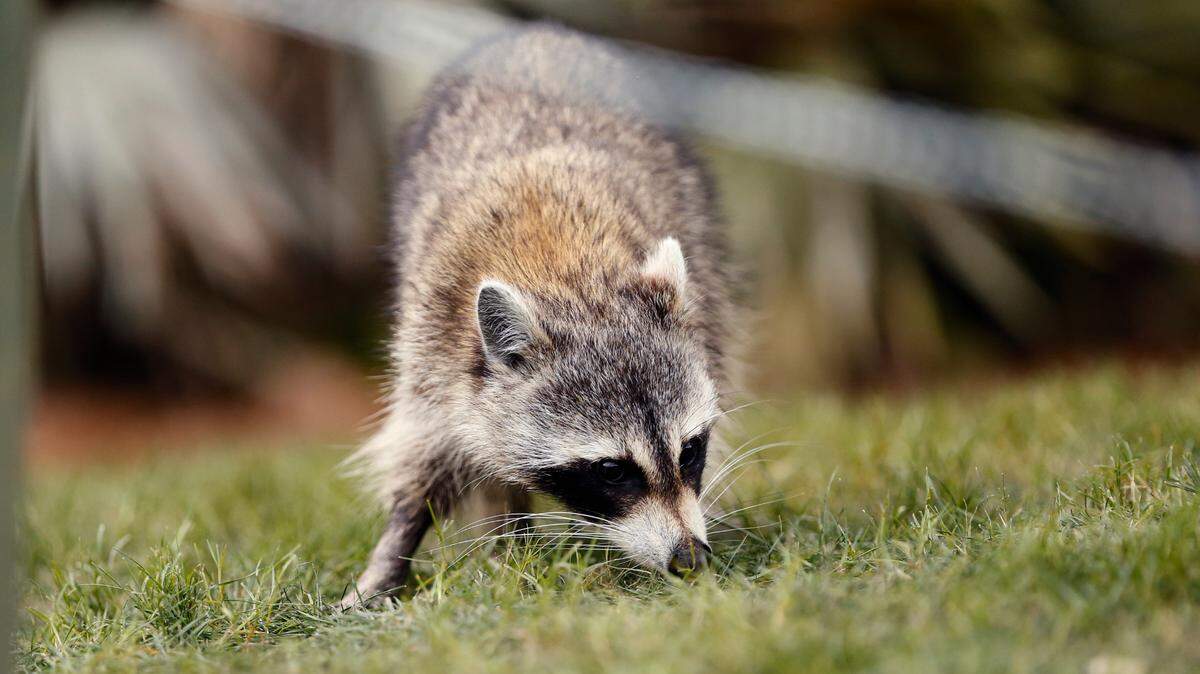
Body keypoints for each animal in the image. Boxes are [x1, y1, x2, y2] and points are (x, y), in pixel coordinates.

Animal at [345, 25, 734, 603]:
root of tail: (545, 32)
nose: (689, 559)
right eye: (611, 470)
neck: (565, 271)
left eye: (689, 451)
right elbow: (428, 451)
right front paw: (397, 545)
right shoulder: (432, 341)